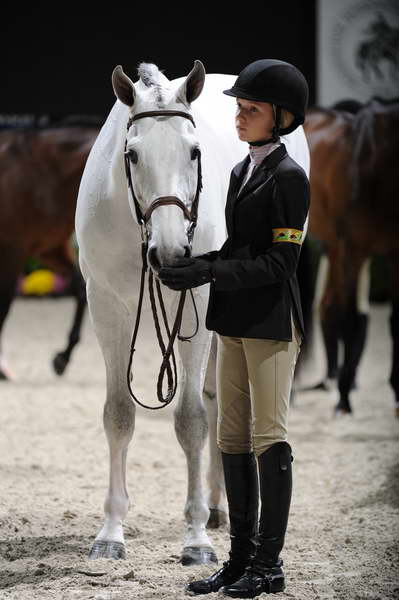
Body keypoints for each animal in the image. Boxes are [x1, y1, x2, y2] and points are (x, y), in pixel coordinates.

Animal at [76, 58, 312, 564]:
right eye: (132, 155)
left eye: (194, 152)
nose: (169, 253)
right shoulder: (105, 306)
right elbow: (119, 415)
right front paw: (110, 533)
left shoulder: (198, 307)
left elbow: (191, 420)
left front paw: (197, 539)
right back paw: (221, 508)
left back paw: (219, 514)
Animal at [304, 98, 399, 414]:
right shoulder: (354, 250)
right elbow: (351, 319)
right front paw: (344, 398)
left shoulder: (395, 255)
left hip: (334, 247)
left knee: (327, 306)